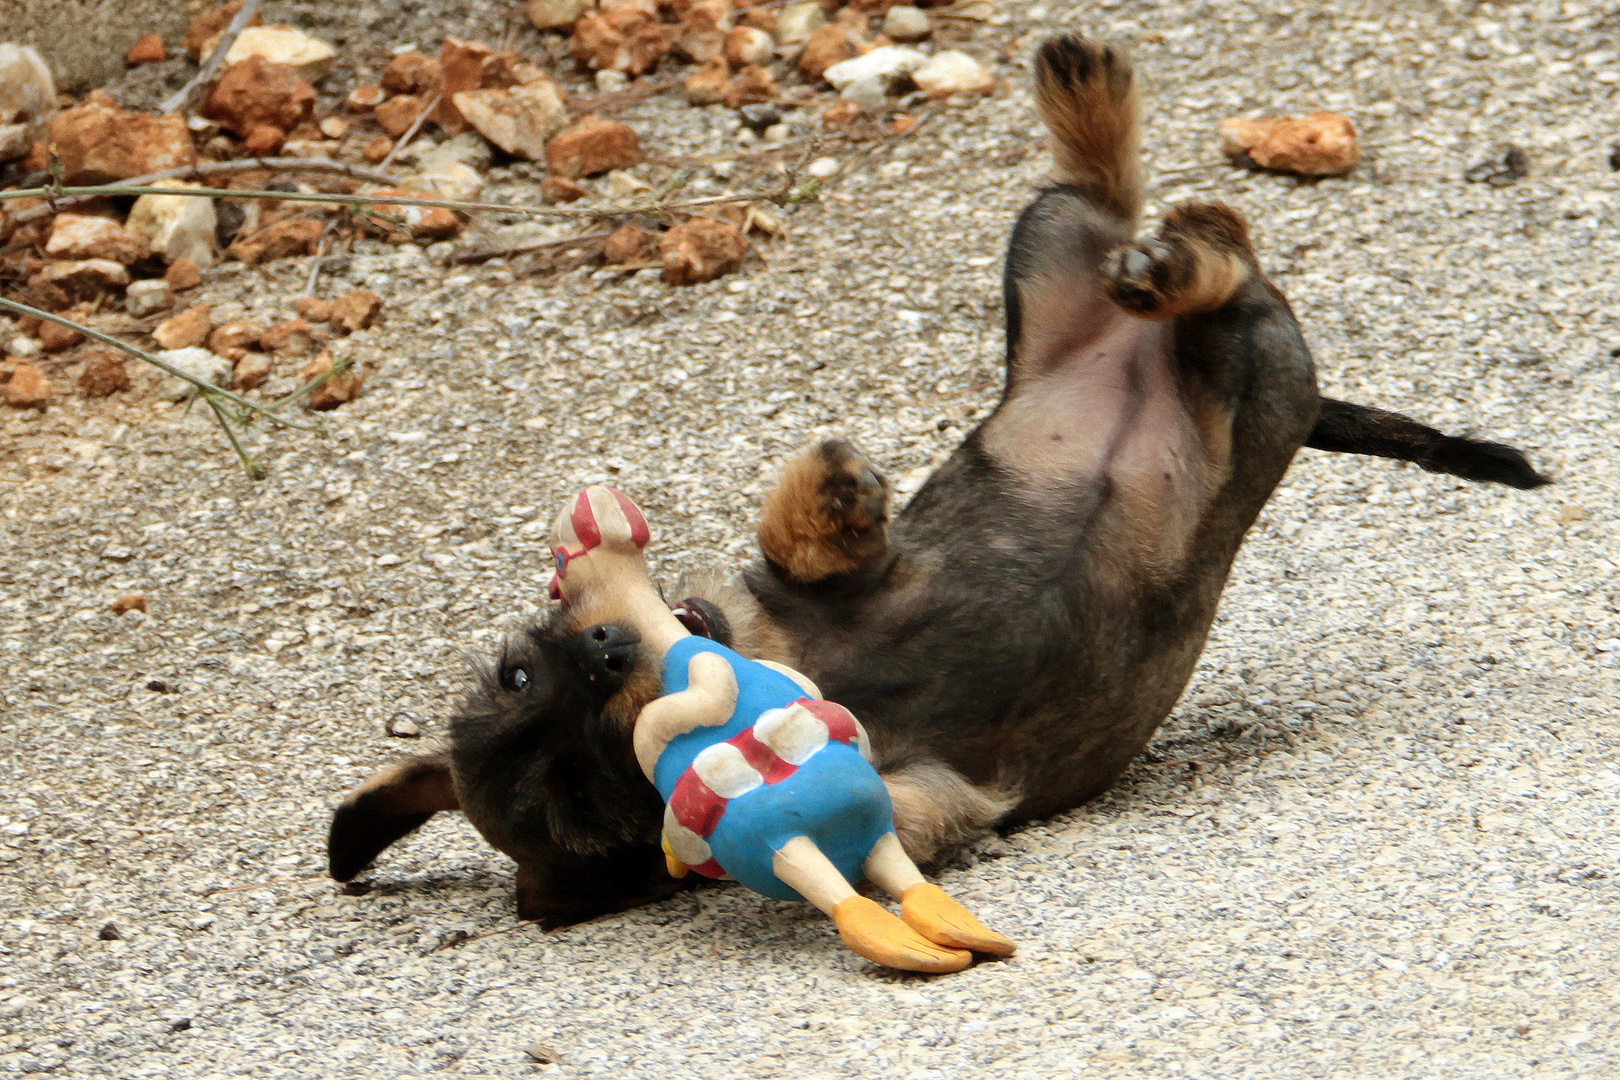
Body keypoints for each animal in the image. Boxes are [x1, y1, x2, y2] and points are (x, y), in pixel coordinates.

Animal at [325, 33, 1542, 932]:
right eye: (584, 793)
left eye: (519, 673)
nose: (608, 651)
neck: (790, 653)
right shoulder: (936, 799)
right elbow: (878, 828)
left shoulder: (827, 578)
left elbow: (801, 540)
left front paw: (833, 492)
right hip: (1259, 381)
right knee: (1216, 267)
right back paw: (1175, 248)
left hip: (1046, 262)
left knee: (1114, 205)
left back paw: (1099, 118)